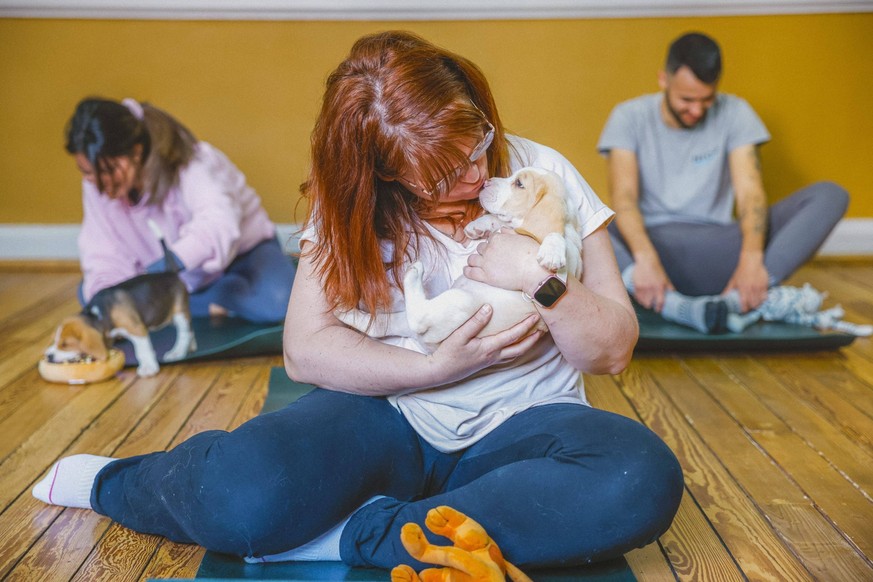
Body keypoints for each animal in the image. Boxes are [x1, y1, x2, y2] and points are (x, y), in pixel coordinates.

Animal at [338, 167, 584, 354]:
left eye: (519, 184)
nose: (485, 183)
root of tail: (430, 345)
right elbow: (497, 220)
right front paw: (478, 226)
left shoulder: (570, 259)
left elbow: (556, 237)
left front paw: (552, 252)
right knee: (381, 325)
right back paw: (346, 313)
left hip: (461, 301)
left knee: (419, 317)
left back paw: (414, 272)